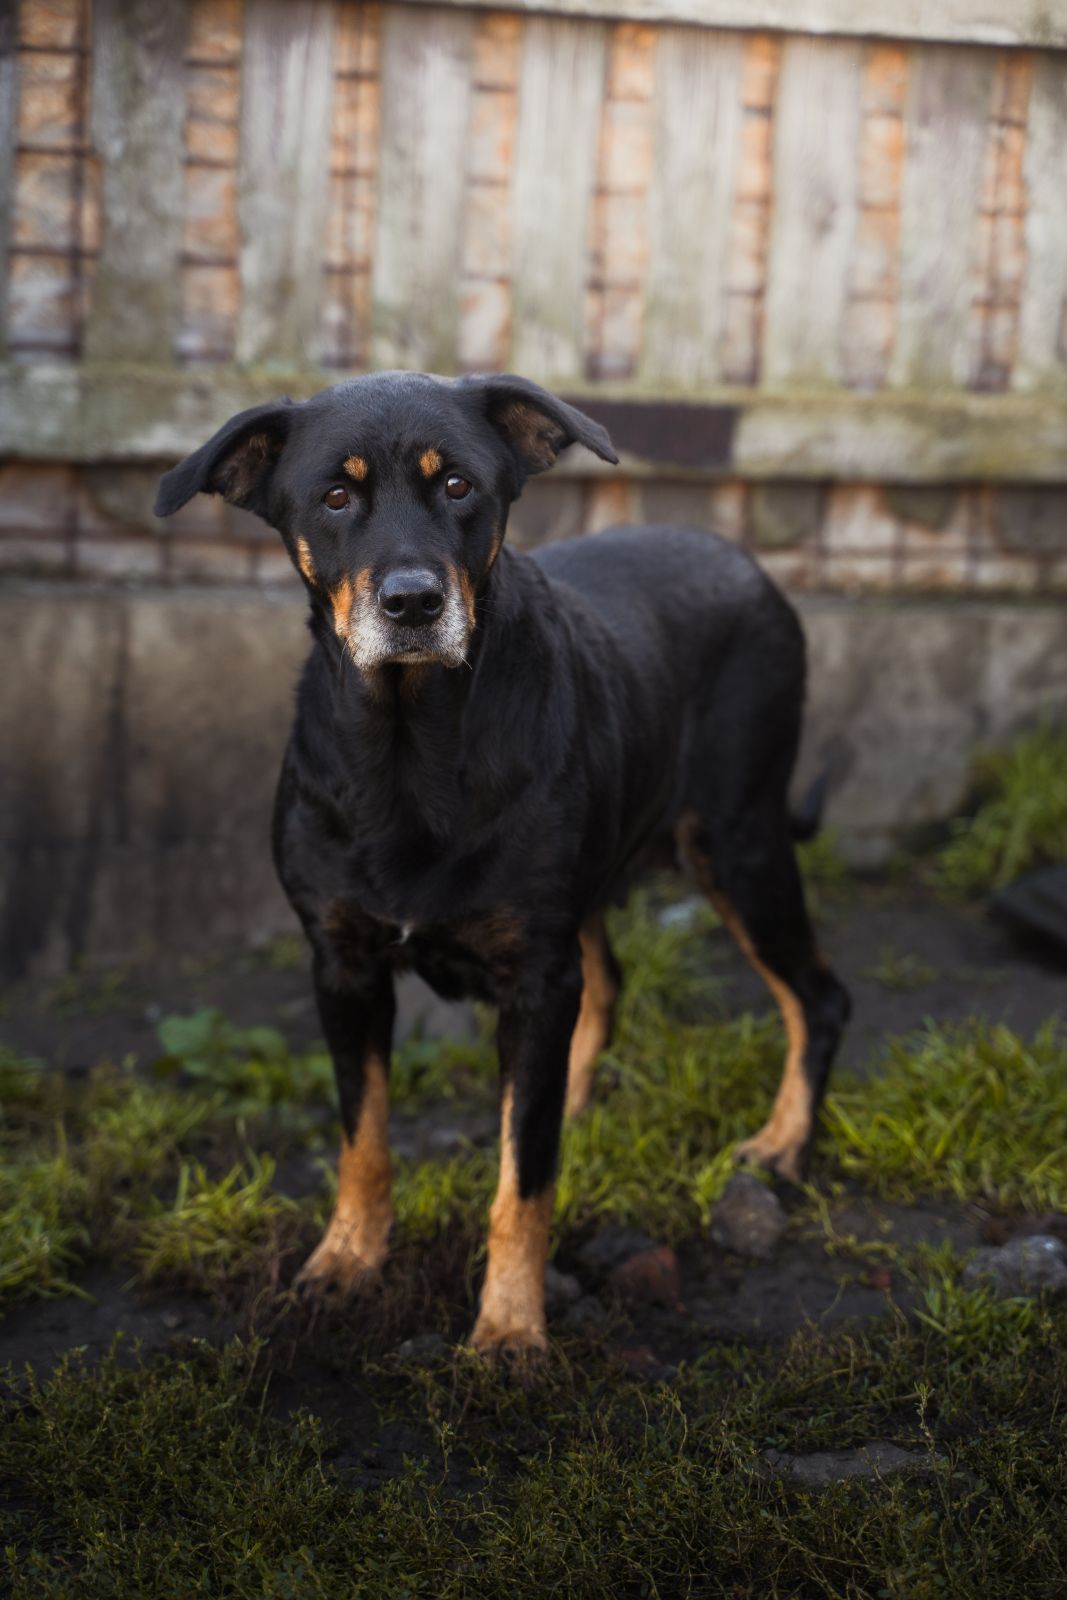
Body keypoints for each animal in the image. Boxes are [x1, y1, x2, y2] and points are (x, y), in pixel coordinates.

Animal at [155, 371, 850, 1359]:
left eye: (458, 487)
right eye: (334, 498)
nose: (412, 603)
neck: (408, 746)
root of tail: (751, 568)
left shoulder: (533, 977)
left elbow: (523, 1177)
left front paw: (511, 1330)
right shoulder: (343, 965)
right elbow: (363, 1136)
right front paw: (346, 1260)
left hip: (739, 842)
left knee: (816, 996)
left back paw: (781, 1144)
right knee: (609, 989)